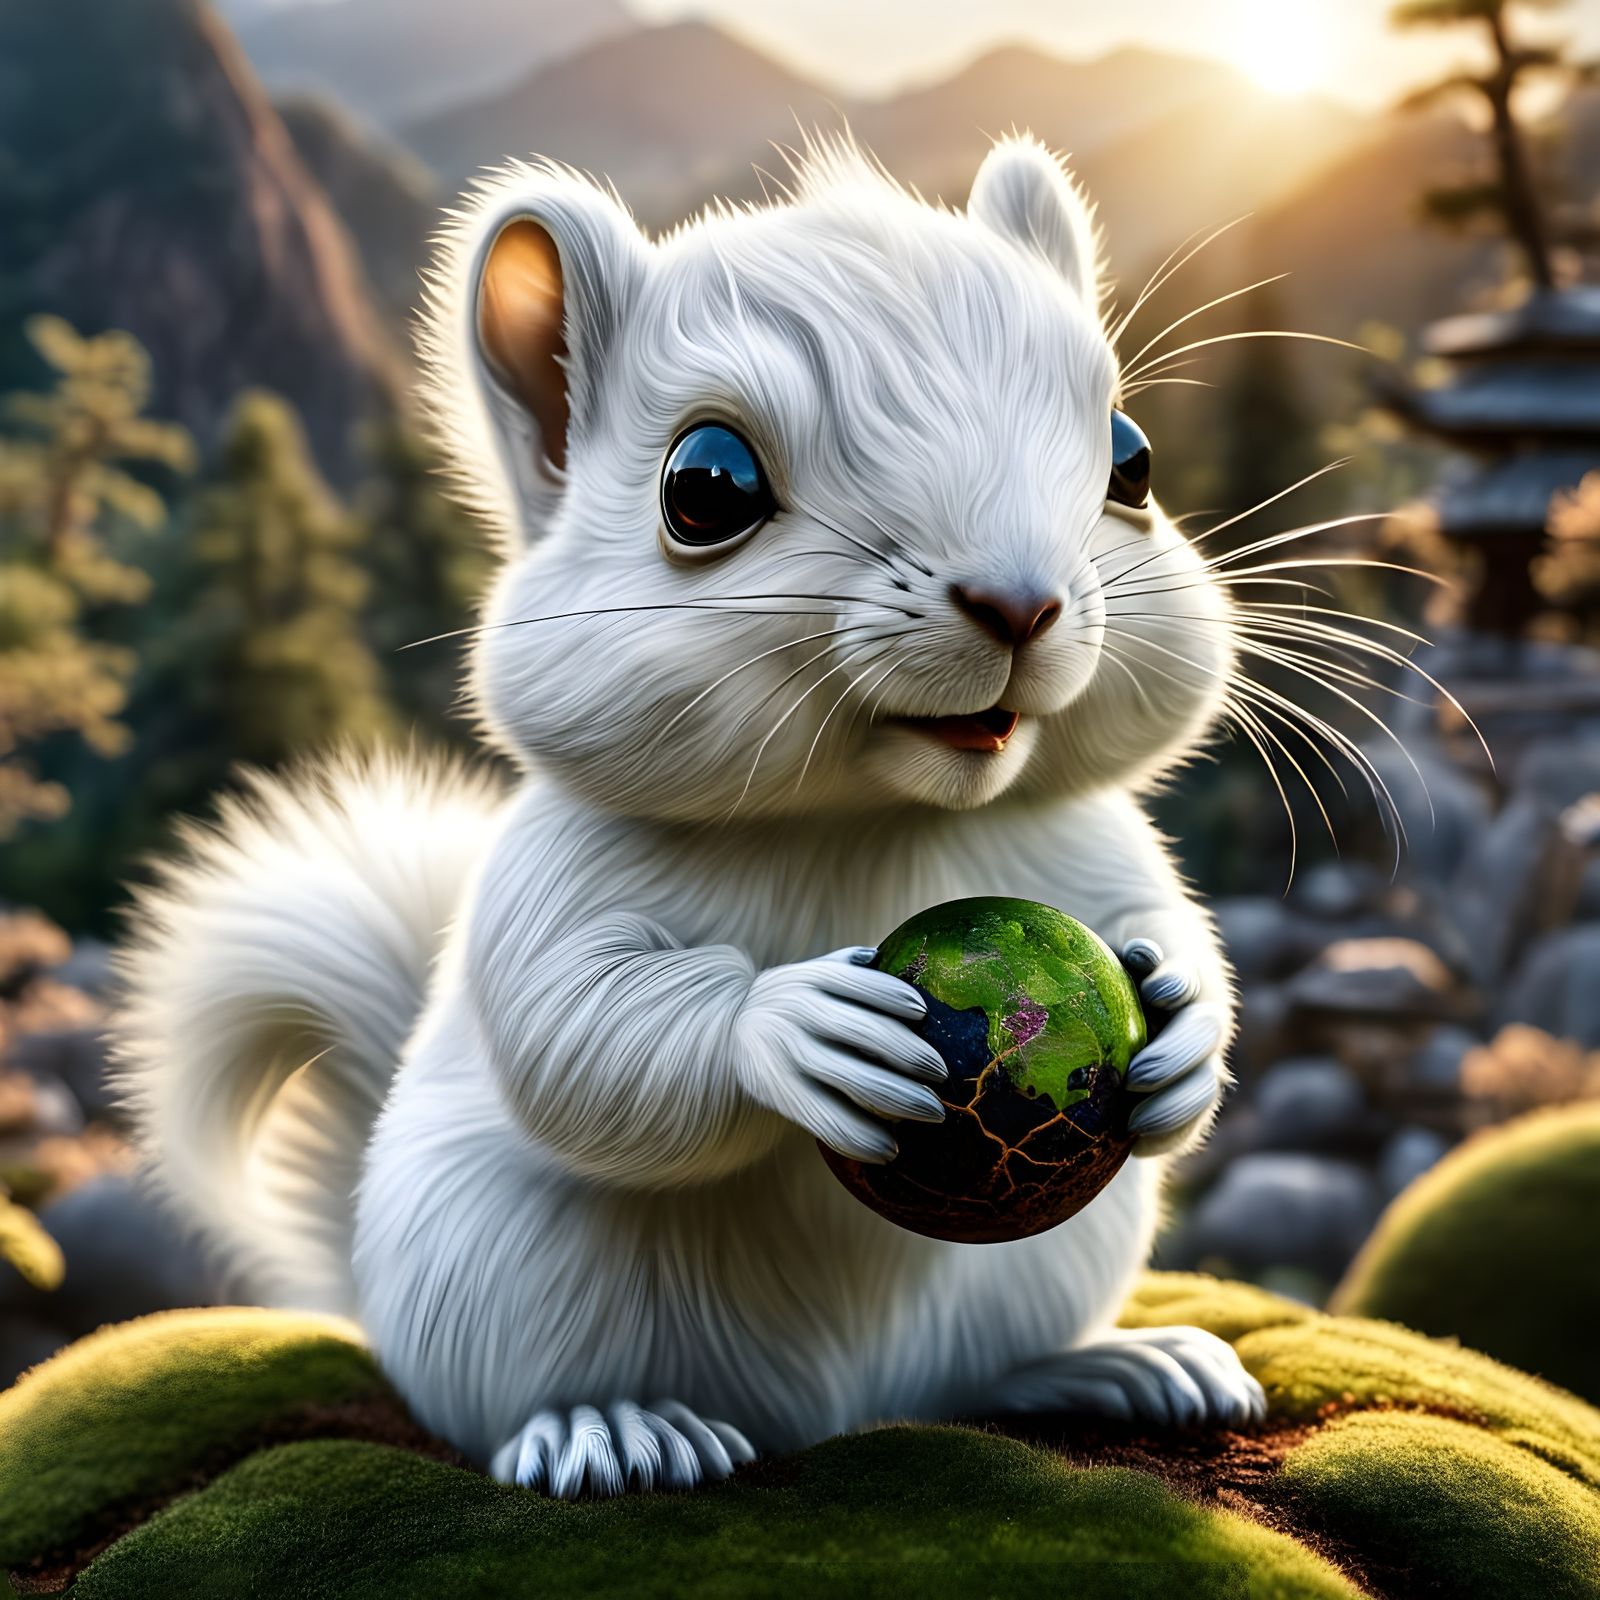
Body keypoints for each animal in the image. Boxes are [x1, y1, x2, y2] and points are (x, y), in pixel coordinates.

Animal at [115, 134, 1266, 1498]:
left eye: (1130, 458)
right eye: (704, 485)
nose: (1020, 602)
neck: (871, 816)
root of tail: (834, 1415)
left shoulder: (1094, 844)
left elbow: (1171, 929)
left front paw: (1185, 1027)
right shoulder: (552, 886)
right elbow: (579, 1030)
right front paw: (788, 1026)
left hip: (1037, 1268)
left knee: (976, 1375)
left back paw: (1110, 1367)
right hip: (494, 1270)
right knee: (513, 1396)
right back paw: (608, 1427)